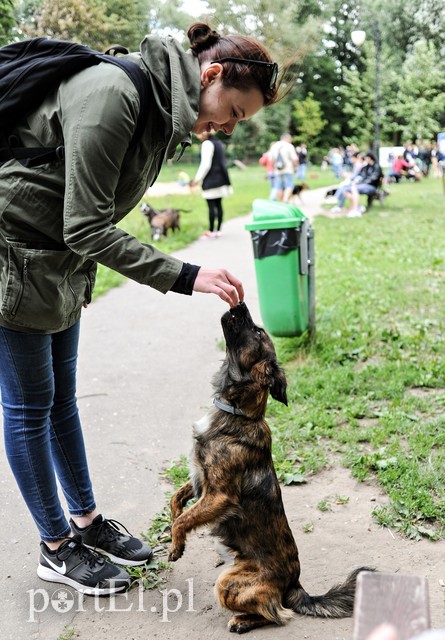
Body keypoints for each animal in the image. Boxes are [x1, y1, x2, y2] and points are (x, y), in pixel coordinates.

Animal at [166, 302, 372, 632]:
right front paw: (176, 535)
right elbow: (177, 501)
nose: (239, 303)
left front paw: (176, 544)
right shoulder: (200, 478)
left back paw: (242, 621)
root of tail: (295, 586)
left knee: (277, 614)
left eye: (259, 331)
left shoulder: (220, 495)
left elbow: (185, 519)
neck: (238, 413)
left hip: (227, 584)